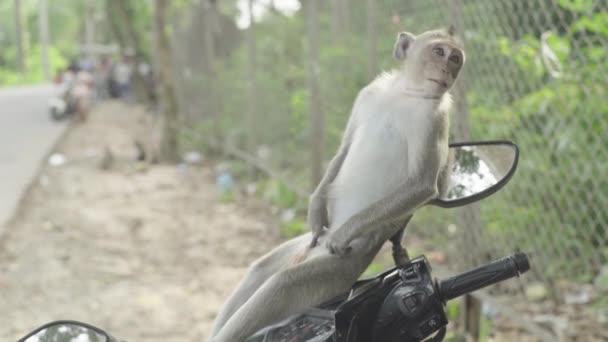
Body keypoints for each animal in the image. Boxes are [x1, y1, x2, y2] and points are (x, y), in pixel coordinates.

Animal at [209, 27, 466, 342]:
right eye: (440, 52)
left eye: (455, 58)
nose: (448, 70)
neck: (405, 92)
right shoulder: (369, 94)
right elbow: (344, 148)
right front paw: (316, 207)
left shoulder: (434, 119)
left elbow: (423, 186)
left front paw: (343, 233)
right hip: (307, 248)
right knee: (261, 269)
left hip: (336, 270)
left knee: (282, 285)